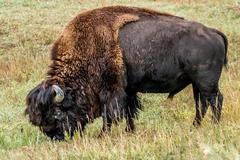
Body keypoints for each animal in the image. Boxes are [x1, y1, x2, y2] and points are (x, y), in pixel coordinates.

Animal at [25, 5, 228, 140]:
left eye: (57, 112)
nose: (55, 137)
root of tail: (213, 32)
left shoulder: (110, 90)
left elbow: (110, 114)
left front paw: (102, 135)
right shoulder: (129, 89)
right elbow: (130, 111)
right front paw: (129, 131)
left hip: (206, 82)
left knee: (215, 100)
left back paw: (214, 126)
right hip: (196, 83)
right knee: (202, 103)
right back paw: (195, 126)